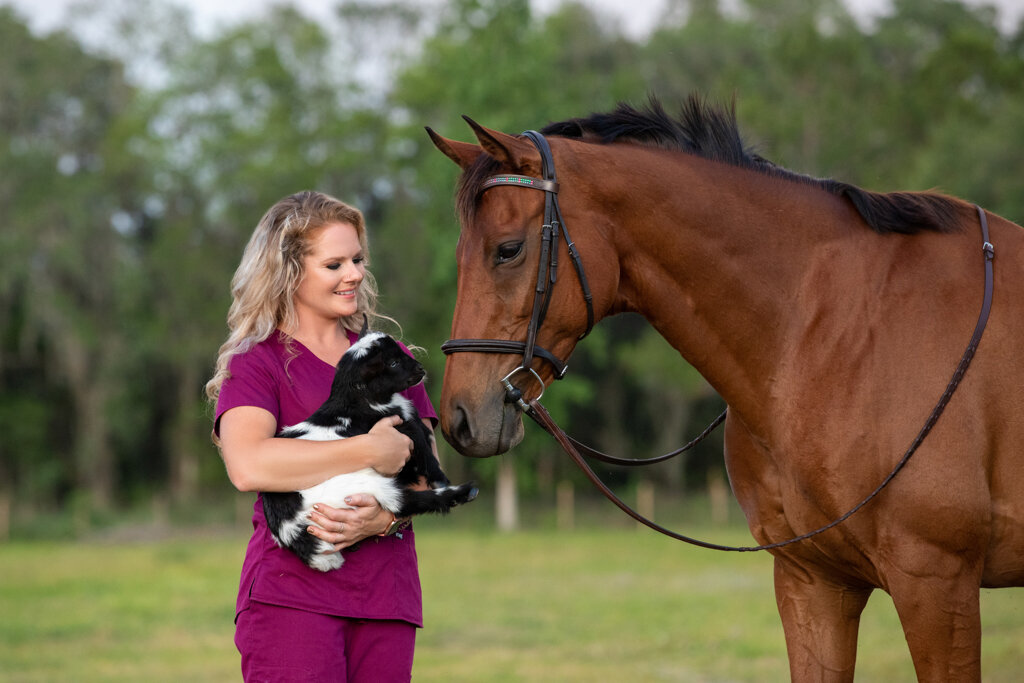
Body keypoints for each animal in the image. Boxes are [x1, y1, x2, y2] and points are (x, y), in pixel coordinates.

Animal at [260, 331, 475, 573]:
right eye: (393, 363)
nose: (420, 369)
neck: (356, 403)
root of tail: (288, 526)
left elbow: (422, 430)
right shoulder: (398, 429)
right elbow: (422, 445)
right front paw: (439, 478)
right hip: (357, 486)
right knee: (402, 501)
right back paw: (463, 492)